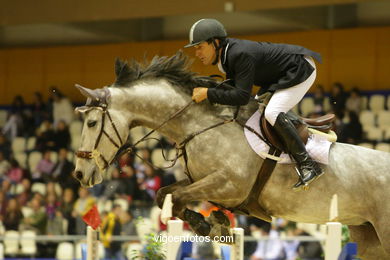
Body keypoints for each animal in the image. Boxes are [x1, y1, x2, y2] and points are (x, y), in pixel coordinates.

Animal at [74, 51, 390, 260]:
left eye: (92, 123)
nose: (79, 173)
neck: (198, 124)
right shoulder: (200, 180)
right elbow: (165, 195)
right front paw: (211, 223)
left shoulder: (228, 185)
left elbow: (177, 197)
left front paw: (211, 225)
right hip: (368, 236)